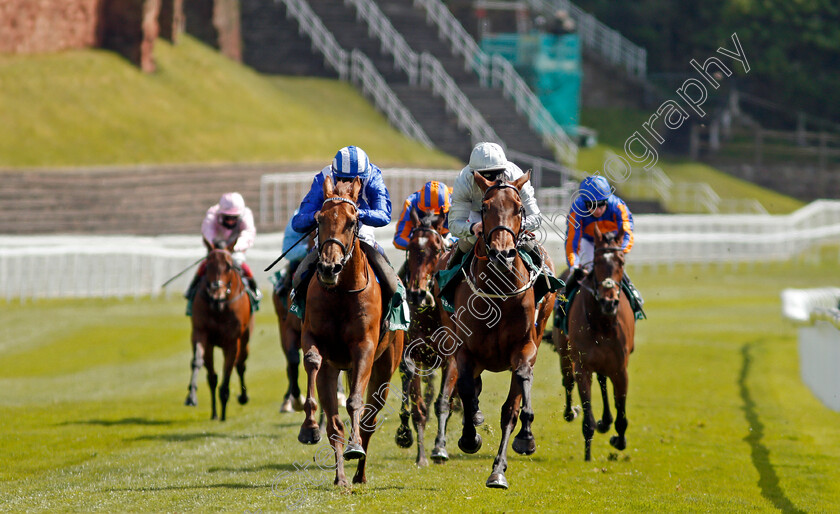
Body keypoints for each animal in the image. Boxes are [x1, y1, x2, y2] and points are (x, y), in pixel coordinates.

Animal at [188, 247, 256, 420]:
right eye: (207, 266)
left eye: (229, 266)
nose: (216, 295)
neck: (219, 307)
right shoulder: (202, 334)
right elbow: (201, 366)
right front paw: (192, 397)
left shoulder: (232, 341)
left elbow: (228, 371)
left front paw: (224, 411)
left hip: (245, 340)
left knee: (241, 365)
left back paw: (242, 397)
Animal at [296, 176, 406, 484]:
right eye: (319, 219)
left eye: (352, 221)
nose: (328, 267)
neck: (341, 292)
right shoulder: (312, 336)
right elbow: (312, 360)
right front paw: (309, 426)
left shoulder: (364, 347)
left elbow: (356, 402)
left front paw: (355, 448)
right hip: (333, 370)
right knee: (334, 424)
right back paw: (341, 477)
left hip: (386, 367)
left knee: (369, 419)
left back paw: (360, 473)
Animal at [394, 205, 480, 464]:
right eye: (411, 248)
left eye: (436, 248)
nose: (417, 294)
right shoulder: (412, 355)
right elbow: (418, 406)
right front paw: (420, 454)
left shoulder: (451, 357)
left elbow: (443, 402)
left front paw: (439, 448)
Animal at [450, 170, 556, 486]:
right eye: (485, 208)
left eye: (519, 208)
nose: (502, 254)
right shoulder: (465, 350)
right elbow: (467, 389)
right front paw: (470, 437)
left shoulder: (526, 346)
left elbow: (515, 396)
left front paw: (519, 444)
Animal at [556, 224, 632, 460]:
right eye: (597, 262)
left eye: (621, 262)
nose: (609, 302)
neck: (603, 323)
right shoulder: (583, 367)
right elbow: (587, 416)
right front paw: (588, 456)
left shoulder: (620, 368)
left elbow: (621, 410)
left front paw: (619, 439)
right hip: (564, 352)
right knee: (568, 380)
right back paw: (571, 412)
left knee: (603, 382)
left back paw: (606, 422)